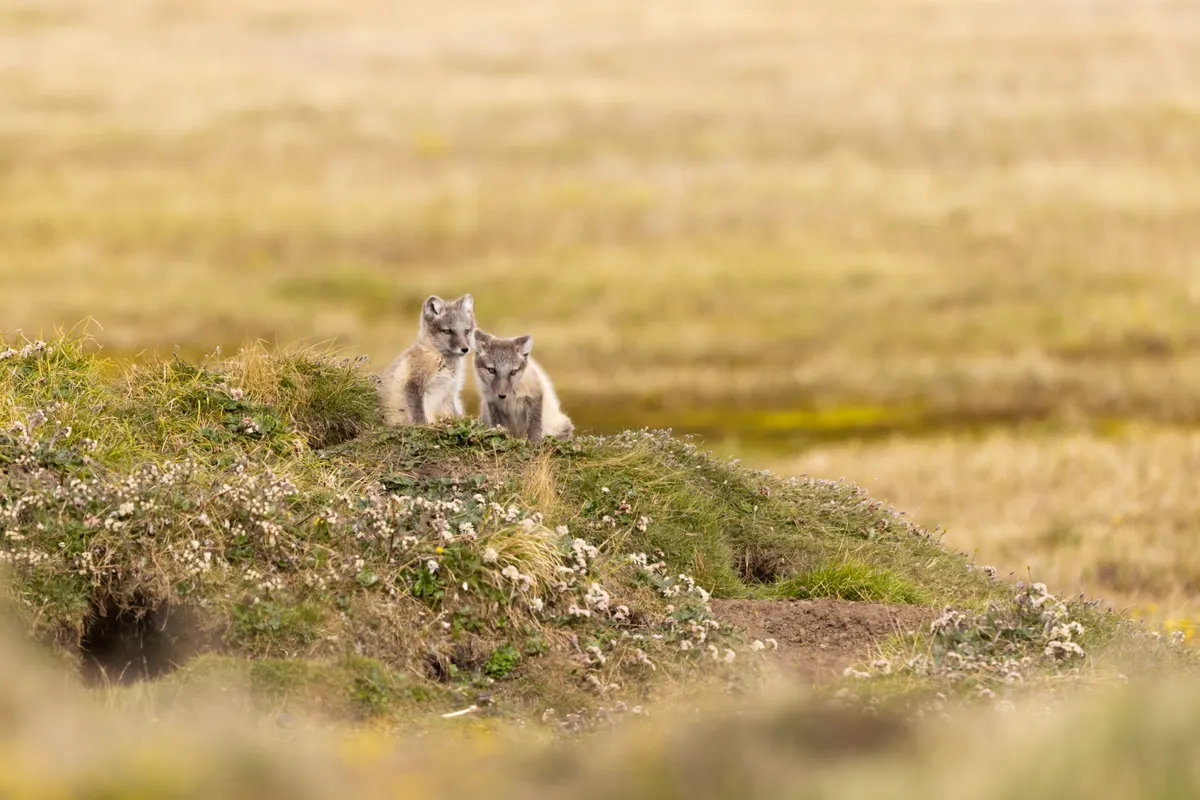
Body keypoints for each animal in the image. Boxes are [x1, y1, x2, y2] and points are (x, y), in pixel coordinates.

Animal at [379, 294, 476, 426]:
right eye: (447, 331)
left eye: (466, 331)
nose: (465, 349)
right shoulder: (414, 384)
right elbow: (419, 416)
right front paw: (424, 426)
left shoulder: (449, 392)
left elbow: (453, 414)